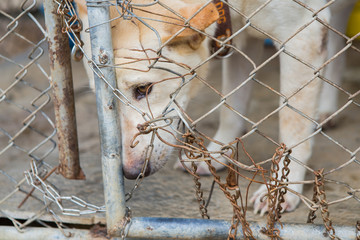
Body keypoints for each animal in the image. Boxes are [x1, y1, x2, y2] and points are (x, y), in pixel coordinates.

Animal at [76, 0, 358, 214]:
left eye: (143, 89)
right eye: (106, 97)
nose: (130, 172)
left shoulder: (303, 34)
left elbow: (293, 126)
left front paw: (282, 188)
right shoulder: (242, 39)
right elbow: (231, 108)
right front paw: (218, 154)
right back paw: (327, 110)